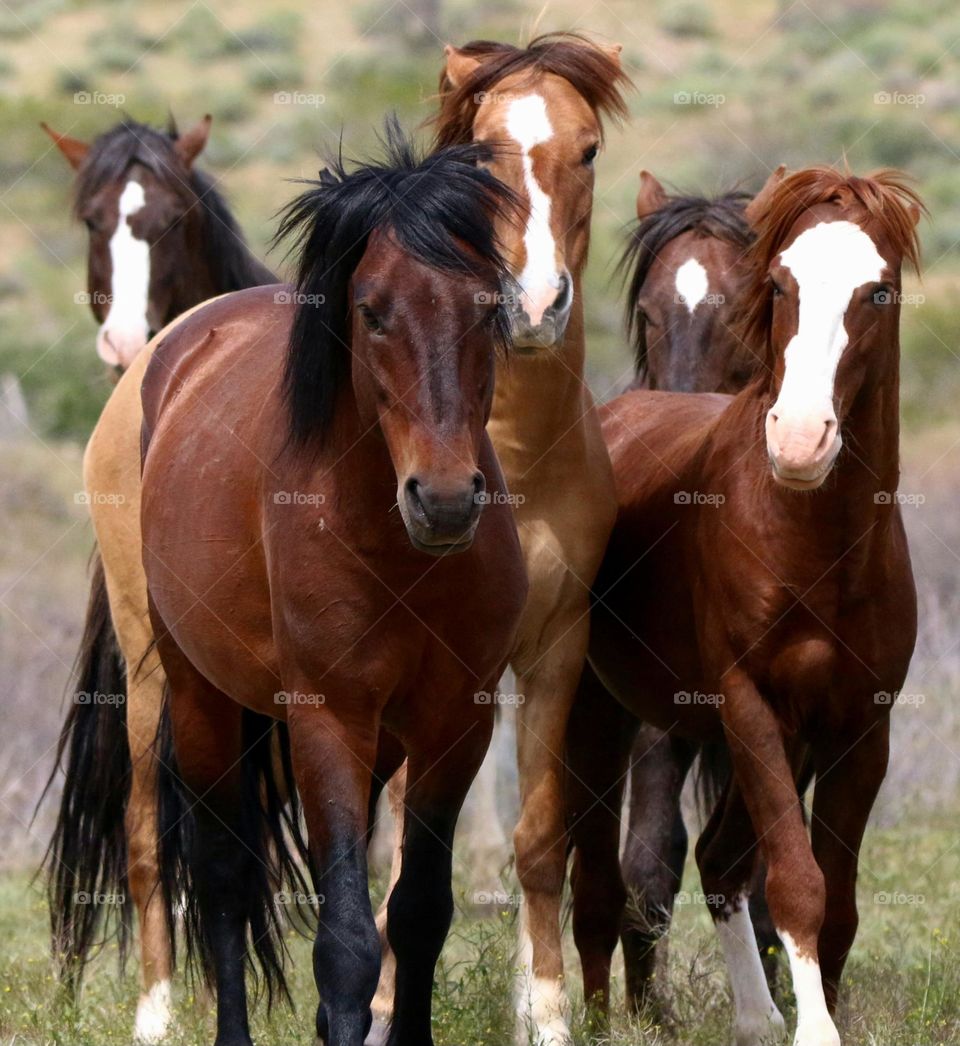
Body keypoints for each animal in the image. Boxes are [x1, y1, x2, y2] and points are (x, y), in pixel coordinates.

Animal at [138, 124, 527, 1046]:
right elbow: (347, 939)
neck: (400, 556)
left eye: (486, 307)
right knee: (224, 882)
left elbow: (417, 912)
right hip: (202, 700)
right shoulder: (329, 717)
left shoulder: (457, 723)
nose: (445, 499)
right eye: (373, 309)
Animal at [369, 34, 631, 1045]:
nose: (533, 304)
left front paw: (546, 1011)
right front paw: (381, 1006)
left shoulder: (555, 651)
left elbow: (539, 838)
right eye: (481, 159)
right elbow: (406, 851)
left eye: (589, 149)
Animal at [565, 166, 921, 1046]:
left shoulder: (858, 726)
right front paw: (815, 1031)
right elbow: (794, 879)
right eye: (781, 286)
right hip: (593, 714)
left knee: (721, 856)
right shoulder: (747, 705)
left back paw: (755, 1018)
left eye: (878, 291)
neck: (815, 539)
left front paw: (804, 1014)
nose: (799, 441)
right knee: (590, 876)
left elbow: (834, 896)